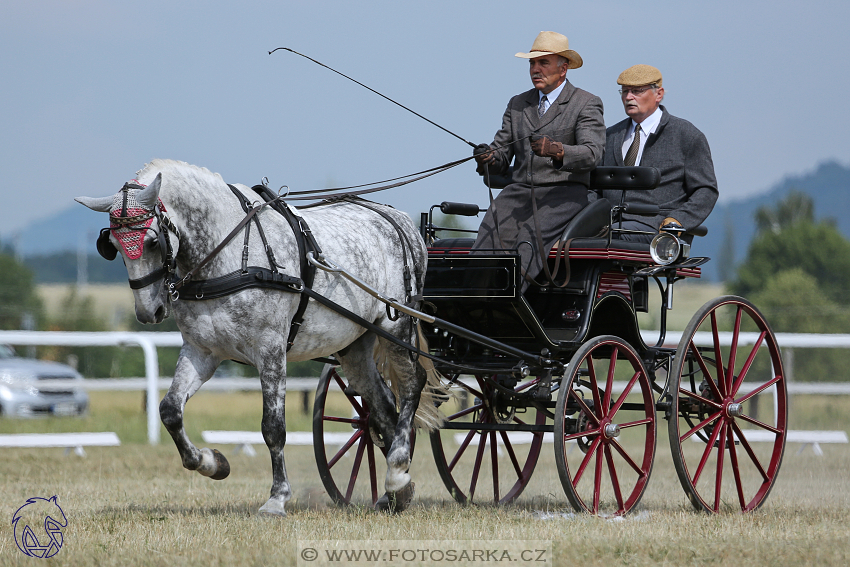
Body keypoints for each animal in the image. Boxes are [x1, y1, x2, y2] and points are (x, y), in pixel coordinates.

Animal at [76, 159, 440, 516]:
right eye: (113, 245)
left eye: (153, 242)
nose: (148, 312)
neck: (229, 255)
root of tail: (400, 220)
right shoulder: (201, 351)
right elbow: (170, 411)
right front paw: (210, 462)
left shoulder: (270, 350)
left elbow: (273, 428)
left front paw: (277, 498)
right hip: (354, 347)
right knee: (383, 407)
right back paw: (397, 491)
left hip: (396, 326)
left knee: (411, 386)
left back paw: (396, 473)